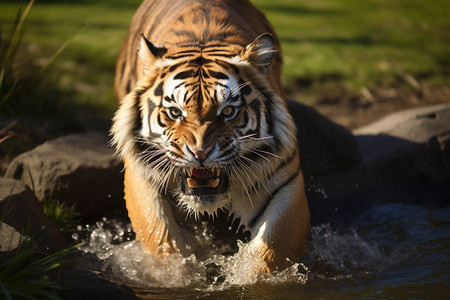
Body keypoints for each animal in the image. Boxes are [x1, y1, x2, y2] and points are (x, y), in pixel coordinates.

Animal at [111, 0, 310, 274]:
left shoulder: (284, 184)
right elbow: (162, 239)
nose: (200, 152)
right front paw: (176, 275)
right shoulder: (143, 175)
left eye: (227, 111)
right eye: (175, 112)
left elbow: (272, 252)